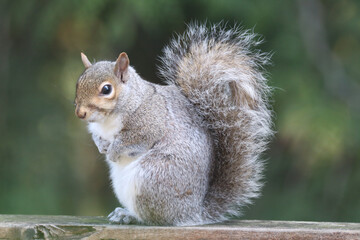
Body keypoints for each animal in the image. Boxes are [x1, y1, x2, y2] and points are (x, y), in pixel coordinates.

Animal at [75, 23, 272, 226]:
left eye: (106, 89)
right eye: (78, 84)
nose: (80, 113)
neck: (107, 119)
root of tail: (193, 212)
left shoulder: (149, 123)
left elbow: (130, 142)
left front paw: (113, 152)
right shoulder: (97, 128)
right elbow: (97, 137)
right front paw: (101, 146)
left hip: (153, 178)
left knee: (153, 218)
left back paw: (129, 215)